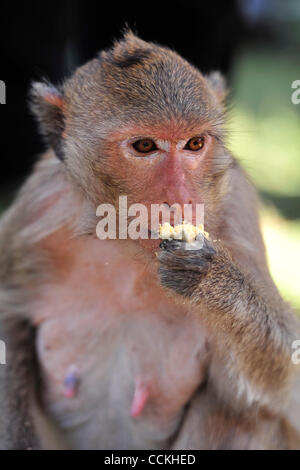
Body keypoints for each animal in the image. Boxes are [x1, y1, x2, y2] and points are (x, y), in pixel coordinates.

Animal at [0, 31, 300, 450]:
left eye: (195, 144)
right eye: (145, 146)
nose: (181, 199)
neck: (126, 246)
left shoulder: (238, 208)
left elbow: (286, 382)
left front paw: (211, 280)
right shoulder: (38, 206)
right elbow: (8, 317)